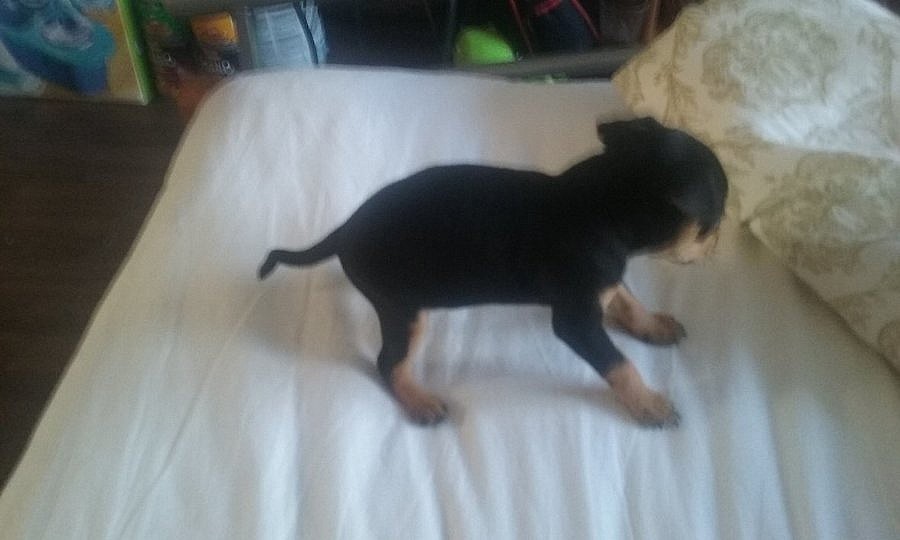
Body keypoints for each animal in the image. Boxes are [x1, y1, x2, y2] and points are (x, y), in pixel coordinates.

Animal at [259, 117, 728, 428]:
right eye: (714, 220)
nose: (716, 246)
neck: (602, 204)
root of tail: (345, 230)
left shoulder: (605, 279)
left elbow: (627, 300)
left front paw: (653, 325)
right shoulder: (575, 321)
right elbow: (619, 363)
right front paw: (648, 403)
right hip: (404, 309)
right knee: (388, 362)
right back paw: (419, 402)